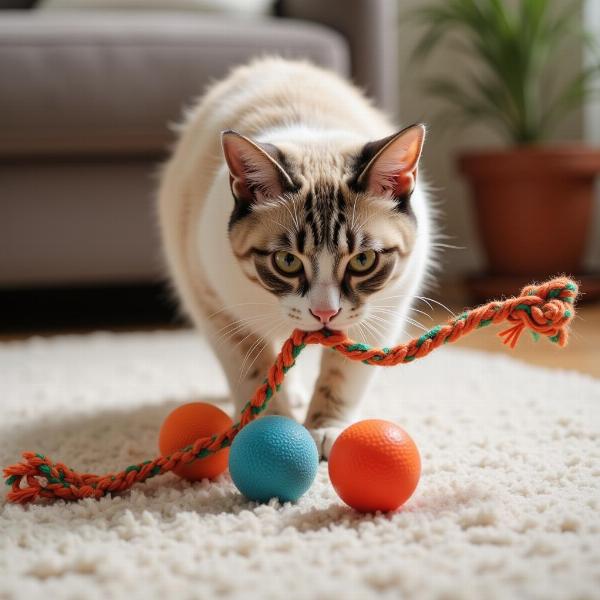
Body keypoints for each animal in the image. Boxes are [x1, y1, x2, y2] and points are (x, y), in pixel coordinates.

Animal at [157, 57, 434, 460]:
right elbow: (253, 373)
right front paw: (272, 429)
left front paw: (325, 429)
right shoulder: (215, 307)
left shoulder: (383, 312)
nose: (325, 313)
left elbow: (342, 376)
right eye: (287, 262)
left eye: (363, 260)